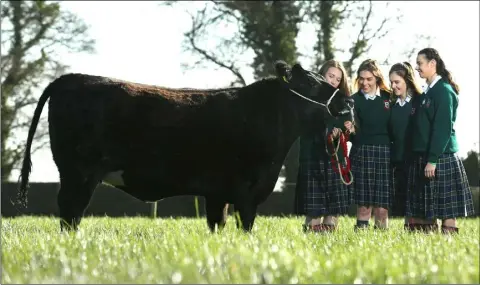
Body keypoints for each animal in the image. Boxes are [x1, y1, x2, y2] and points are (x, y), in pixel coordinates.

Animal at [16, 60, 354, 231]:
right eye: (310, 83)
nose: (348, 103)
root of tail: (71, 77)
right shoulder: (247, 192)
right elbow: (245, 225)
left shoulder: (218, 193)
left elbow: (217, 224)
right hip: (79, 173)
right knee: (70, 212)